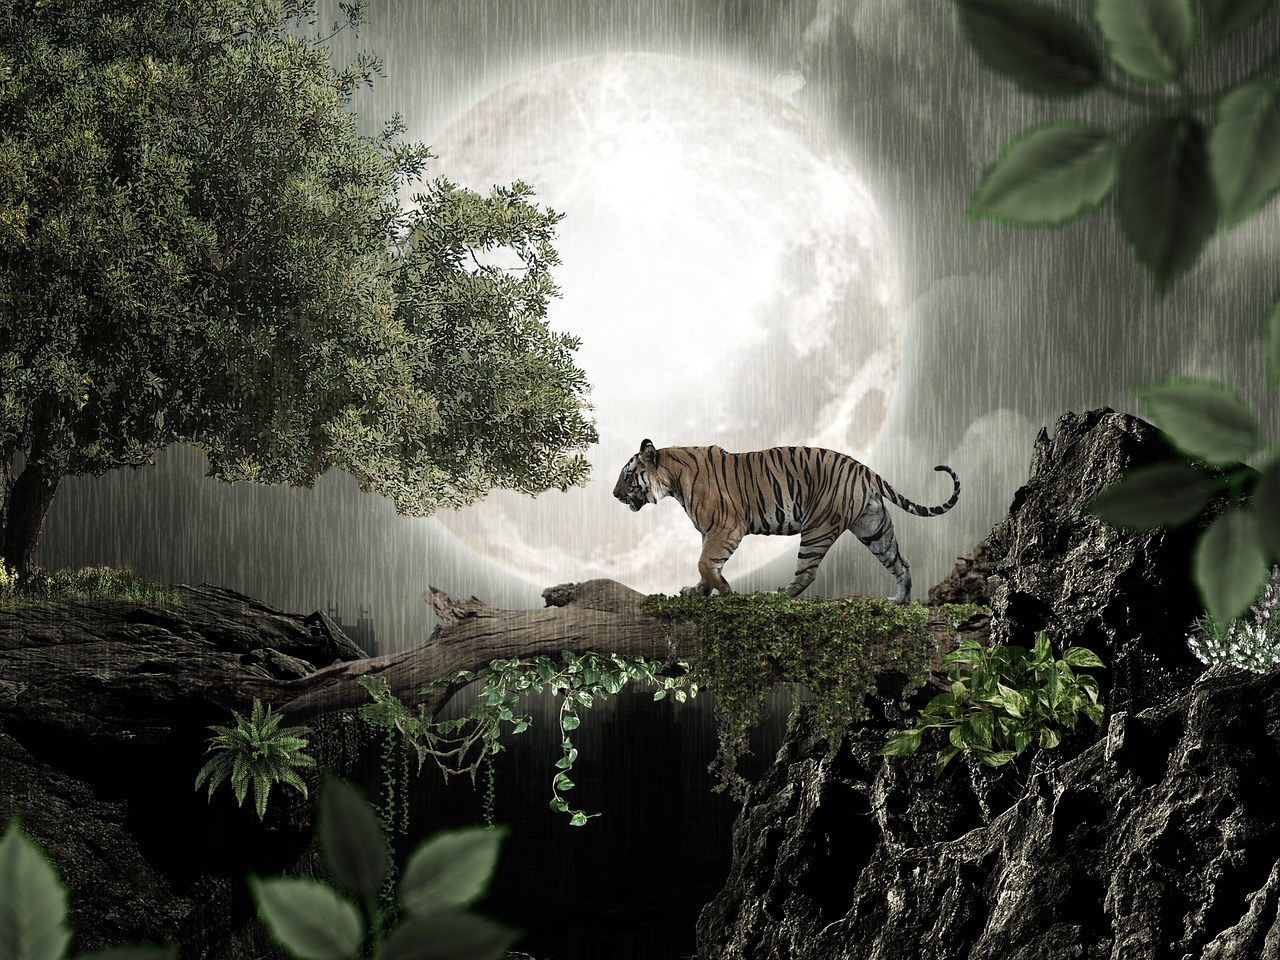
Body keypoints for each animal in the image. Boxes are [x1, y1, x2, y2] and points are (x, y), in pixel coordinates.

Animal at [612, 439, 960, 604]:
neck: (672, 479)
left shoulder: (726, 527)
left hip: (818, 528)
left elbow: (705, 562)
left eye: (627, 476)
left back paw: (774, 596)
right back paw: (900, 600)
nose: (614, 495)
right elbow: (705, 565)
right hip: (873, 527)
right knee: (902, 562)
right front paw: (697, 591)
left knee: (806, 573)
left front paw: (724, 590)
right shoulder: (709, 532)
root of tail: (864, 468)